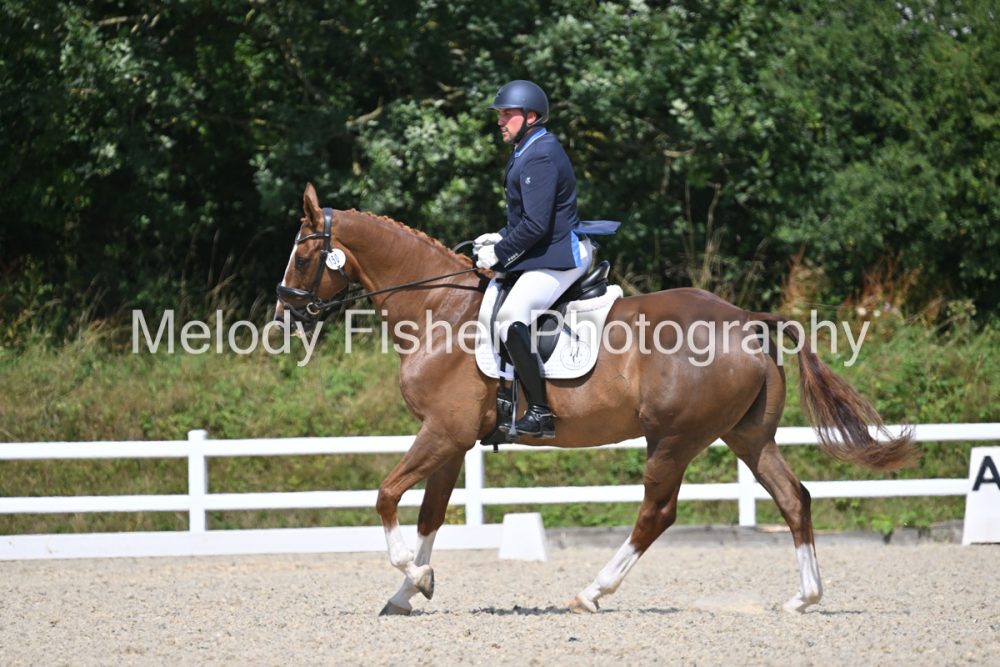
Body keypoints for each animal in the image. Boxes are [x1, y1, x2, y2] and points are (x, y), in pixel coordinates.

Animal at [274, 183, 918, 616]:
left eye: (303, 255)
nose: (284, 319)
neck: (440, 311)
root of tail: (746, 321)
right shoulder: (452, 442)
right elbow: (430, 514)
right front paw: (410, 590)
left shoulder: (442, 433)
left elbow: (385, 496)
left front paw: (413, 573)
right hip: (747, 435)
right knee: (794, 497)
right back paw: (803, 598)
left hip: (674, 438)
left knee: (657, 512)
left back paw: (591, 593)